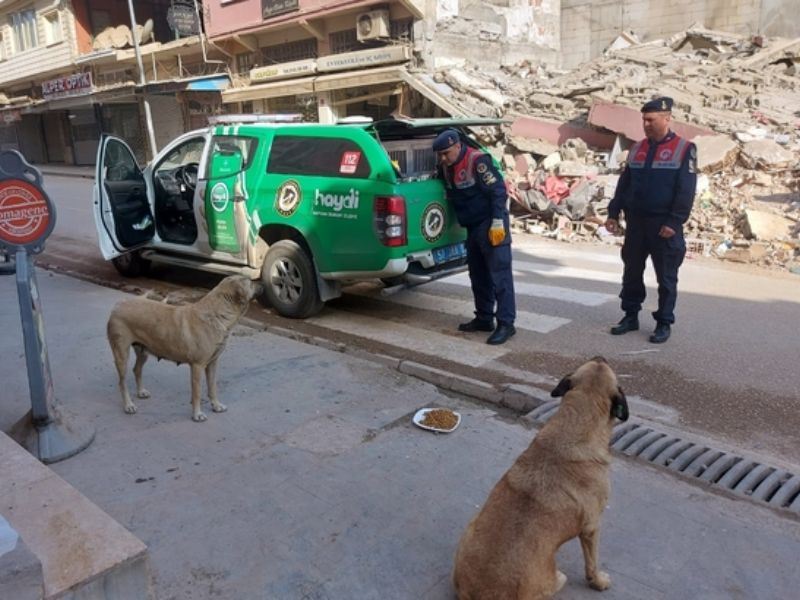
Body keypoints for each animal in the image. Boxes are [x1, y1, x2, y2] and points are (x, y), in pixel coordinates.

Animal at [105, 276, 262, 422]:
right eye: (250, 282)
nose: (261, 283)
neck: (218, 313)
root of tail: (118, 305)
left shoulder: (212, 363)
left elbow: (212, 387)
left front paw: (216, 405)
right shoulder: (197, 366)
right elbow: (197, 392)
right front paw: (197, 414)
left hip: (143, 351)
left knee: (136, 370)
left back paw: (141, 392)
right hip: (121, 353)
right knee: (122, 382)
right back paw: (128, 405)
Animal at [454, 358, 628, 596]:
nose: (601, 356)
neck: (574, 426)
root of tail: (481, 594)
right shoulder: (592, 527)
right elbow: (592, 563)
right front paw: (598, 581)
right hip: (559, 577)